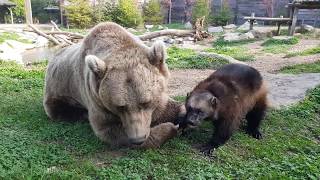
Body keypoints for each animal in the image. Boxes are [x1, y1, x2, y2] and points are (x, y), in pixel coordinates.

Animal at [43, 22, 184, 148]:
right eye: (120, 107)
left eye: (146, 102)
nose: (138, 139)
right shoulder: (96, 98)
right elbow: (109, 129)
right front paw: (169, 128)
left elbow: (166, 106)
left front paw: (182, 115)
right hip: (59, 90)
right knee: (59, 109)